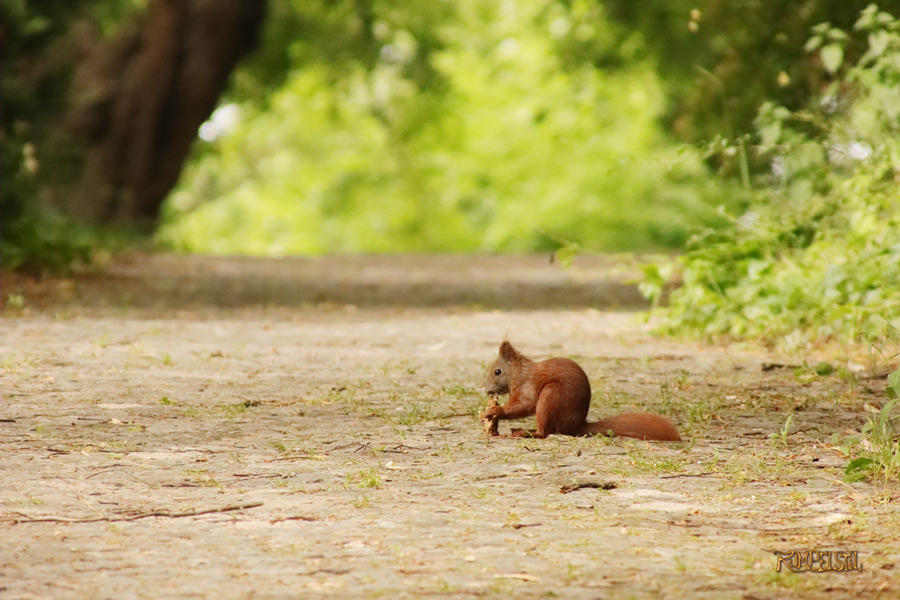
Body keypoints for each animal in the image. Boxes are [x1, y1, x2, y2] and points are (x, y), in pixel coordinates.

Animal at [483, 341, 681, 441]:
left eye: (497, 371)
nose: (487, 390)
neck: (519, 372)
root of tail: (577, 425)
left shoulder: (527, 384)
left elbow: (525, 404)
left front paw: (496, 410)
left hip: (551, 395)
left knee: (545, 432)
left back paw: (526, 432)